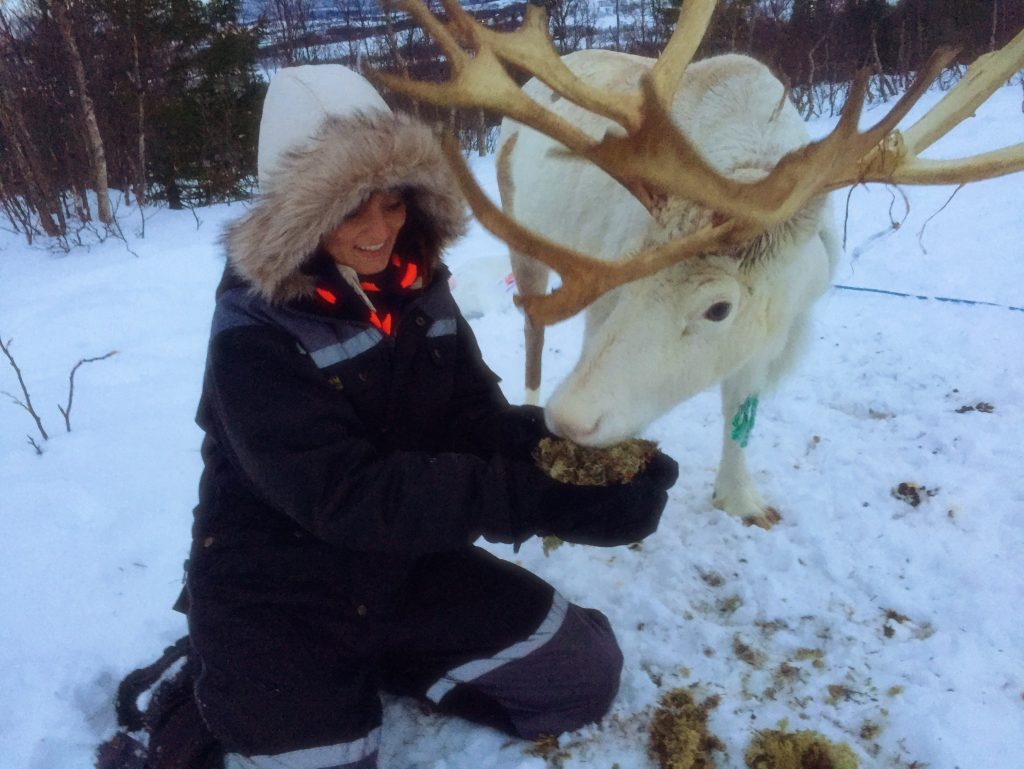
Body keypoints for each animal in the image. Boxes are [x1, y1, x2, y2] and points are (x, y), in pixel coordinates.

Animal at [368, 0, 1024, 528]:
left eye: (717, 308)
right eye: (631, 268)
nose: (569, 418)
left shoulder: (768, 331)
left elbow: (740, 412)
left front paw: (741, 499)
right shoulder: (602, 289)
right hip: (522, 237)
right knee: (532, 322)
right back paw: (528, 393)